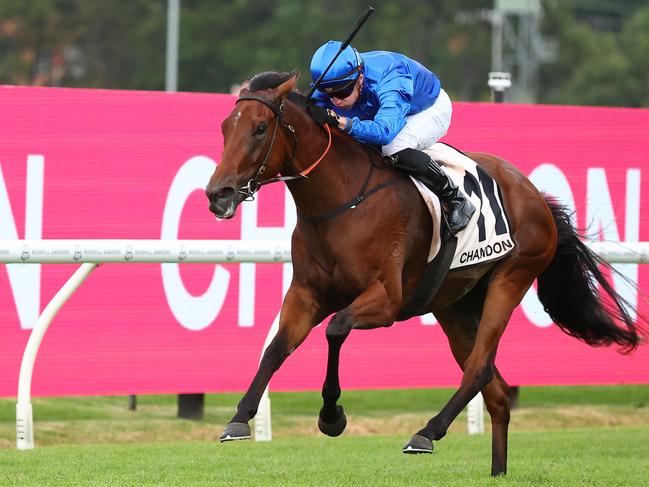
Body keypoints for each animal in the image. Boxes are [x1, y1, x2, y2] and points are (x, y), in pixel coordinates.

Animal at [205, 72, 640, 476]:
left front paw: (332, 416)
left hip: (511, 277)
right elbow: (276, 347)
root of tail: (534, 193)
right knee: (496, 391)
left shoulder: (386, 299)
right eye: (225, 126)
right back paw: (497, 470)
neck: (341, 201)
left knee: (479, 369)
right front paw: (239, 419)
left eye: (260, 128)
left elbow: (336, 329)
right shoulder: (307, 294)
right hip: (455, 305)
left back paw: (427, 432)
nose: (217, 193)